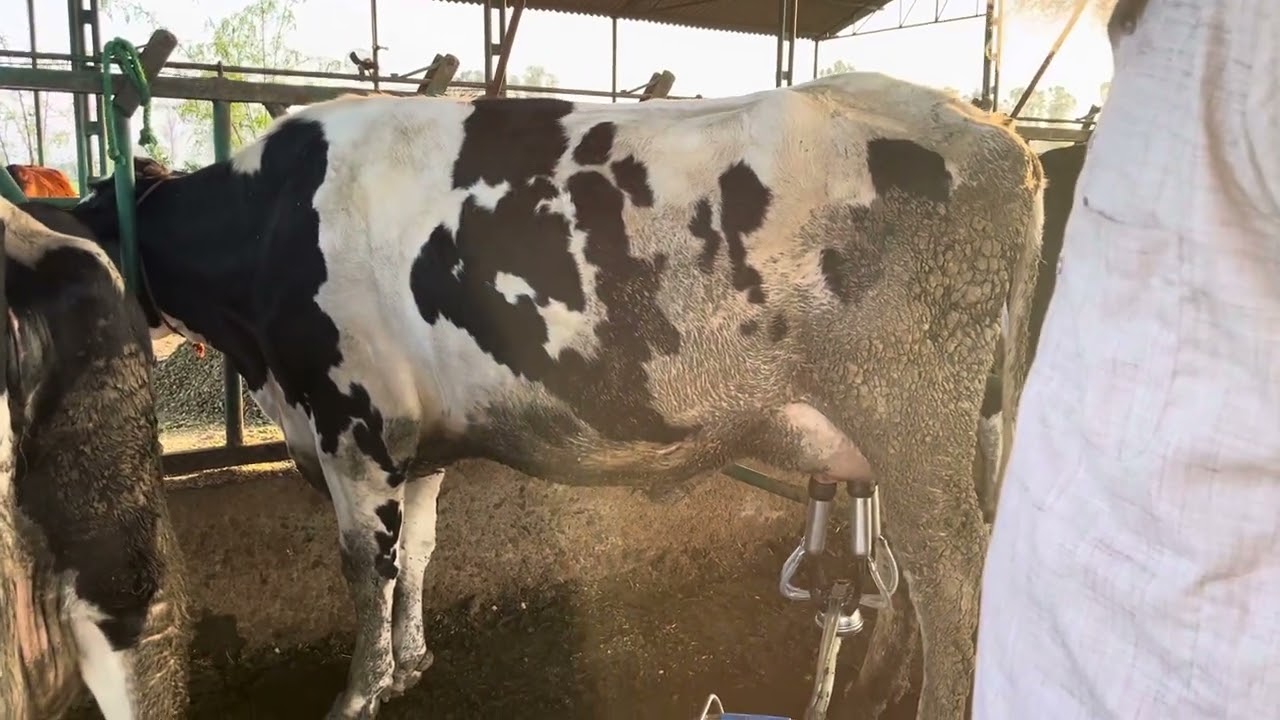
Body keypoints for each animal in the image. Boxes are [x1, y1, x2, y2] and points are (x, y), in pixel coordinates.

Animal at [71, 71, 1044, 719]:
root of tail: (1000, 135)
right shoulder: (418, 440)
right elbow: (420, 551)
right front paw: (413, 663)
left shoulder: (351, 428)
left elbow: (366, 570)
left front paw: (360, 691)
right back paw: (877, 687)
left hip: (914, 420)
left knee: (956, 588)